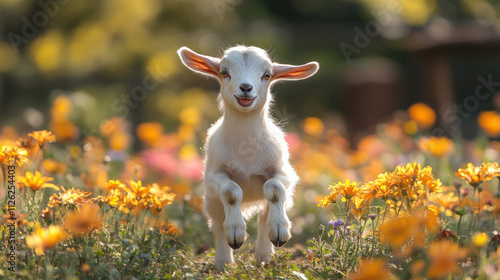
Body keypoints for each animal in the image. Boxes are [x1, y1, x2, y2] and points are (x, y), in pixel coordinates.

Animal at [178, 44, 318, 270]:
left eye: (267, 74)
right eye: (224, 72)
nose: (245, 87)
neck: (246, 149)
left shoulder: (284, 171)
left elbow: (274, 189)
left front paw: (280, 233)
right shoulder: (216, 174)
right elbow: (231, 192)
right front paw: (236, 234)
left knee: (264, 215)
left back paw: (266, 253)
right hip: (211, 200)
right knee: (218, 223)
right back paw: (224, 263)